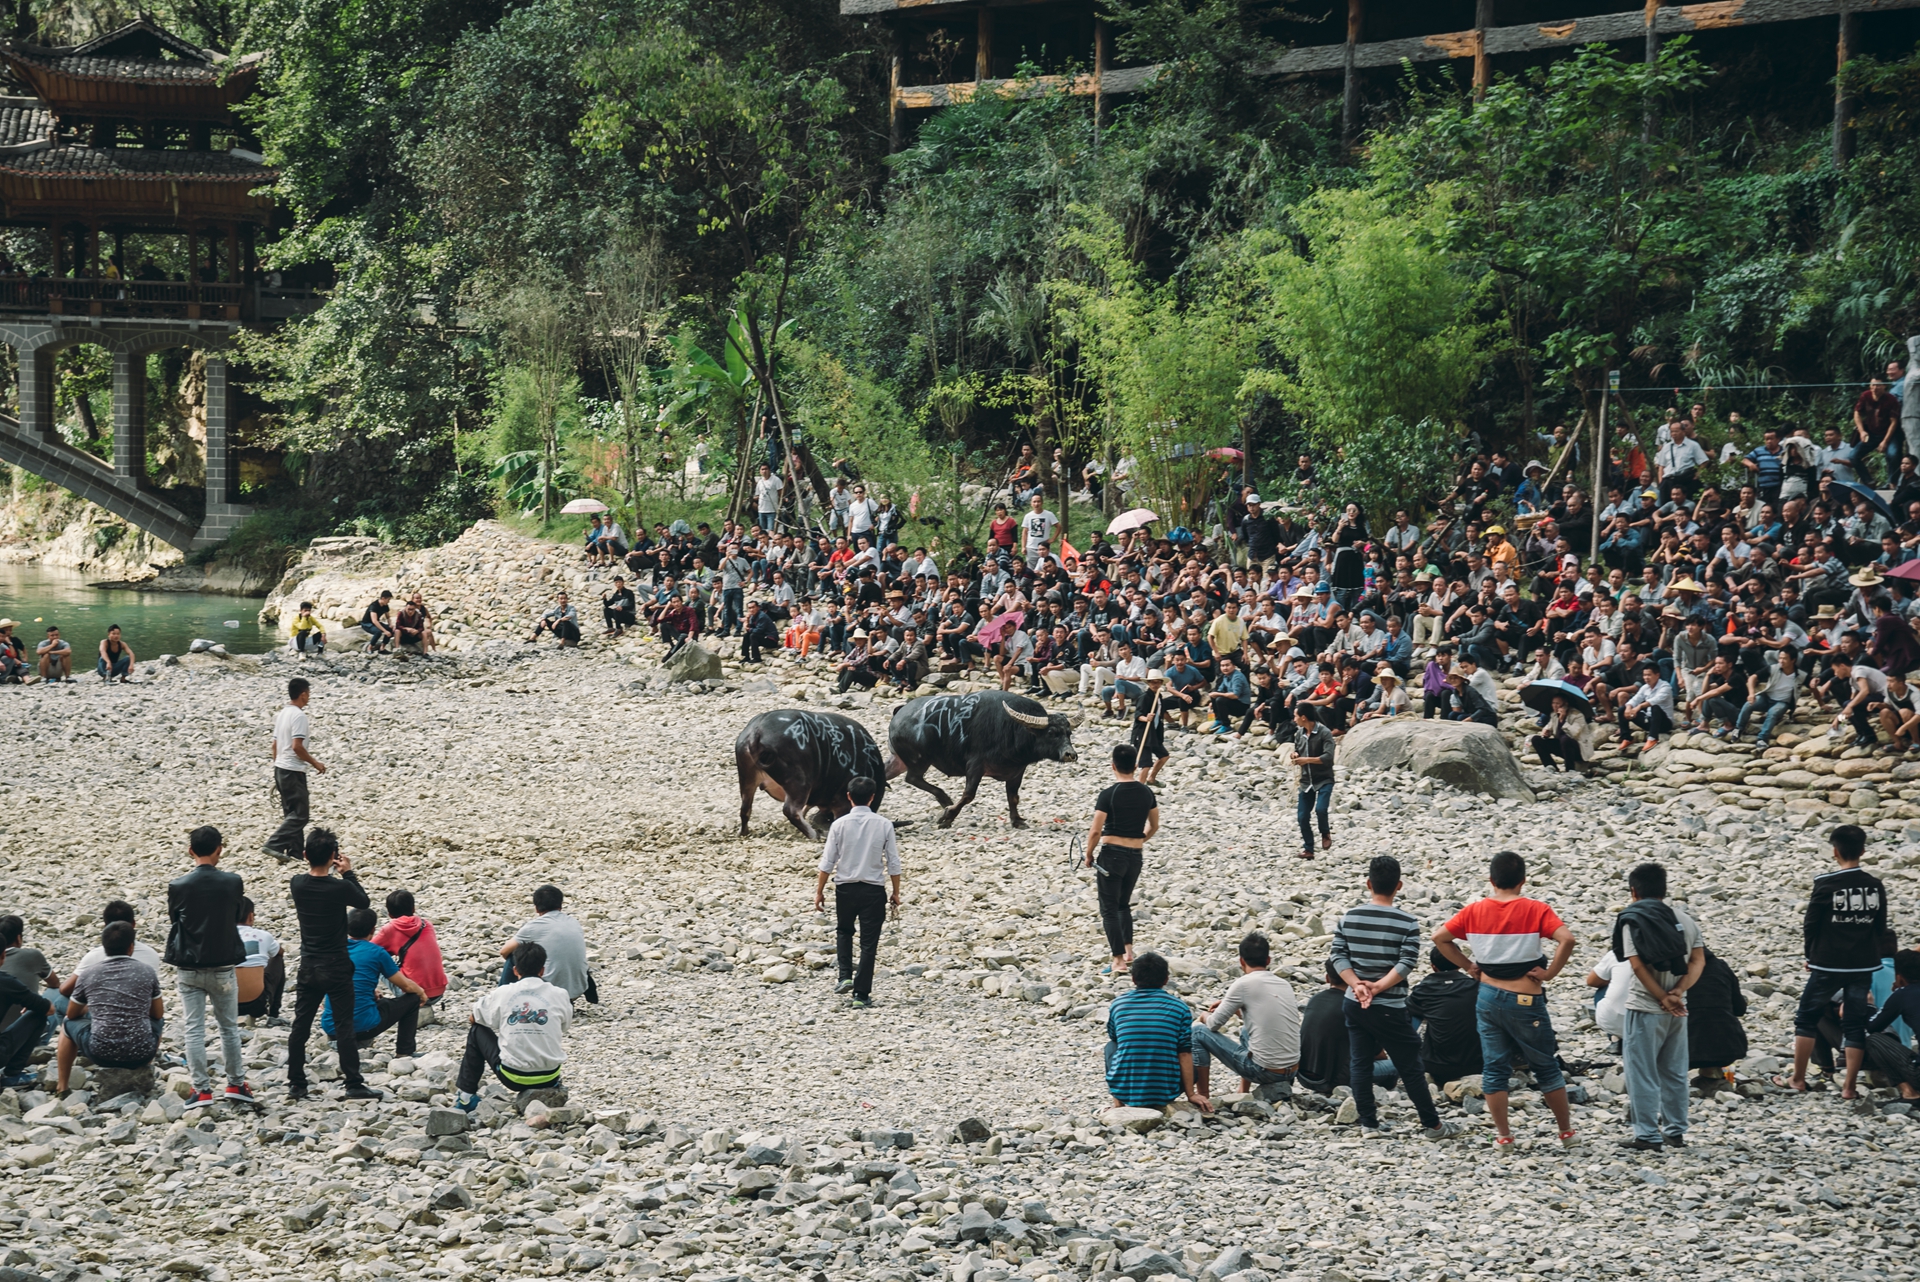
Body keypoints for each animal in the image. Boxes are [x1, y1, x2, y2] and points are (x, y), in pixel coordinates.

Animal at [729, 706, 887, 836]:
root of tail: (756, 732)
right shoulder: (842, 799)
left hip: (747, 778)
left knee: (745, 808)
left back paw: (743, 832)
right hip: (799, 782)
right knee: (791, 810)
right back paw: (813, 834)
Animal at [887, 690, 1082, 832]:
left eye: (1069, 733)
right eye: (1051, 733)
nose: (1070, 754)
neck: (1013, 729)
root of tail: (899, 713)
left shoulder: (1017, 771)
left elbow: (1013, 797)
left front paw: (1017, 820)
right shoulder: (976, 766)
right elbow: (968, 795)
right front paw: (947, 817)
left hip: (900, 759)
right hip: (918, 760)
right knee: (912, 778)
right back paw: (944, 799)